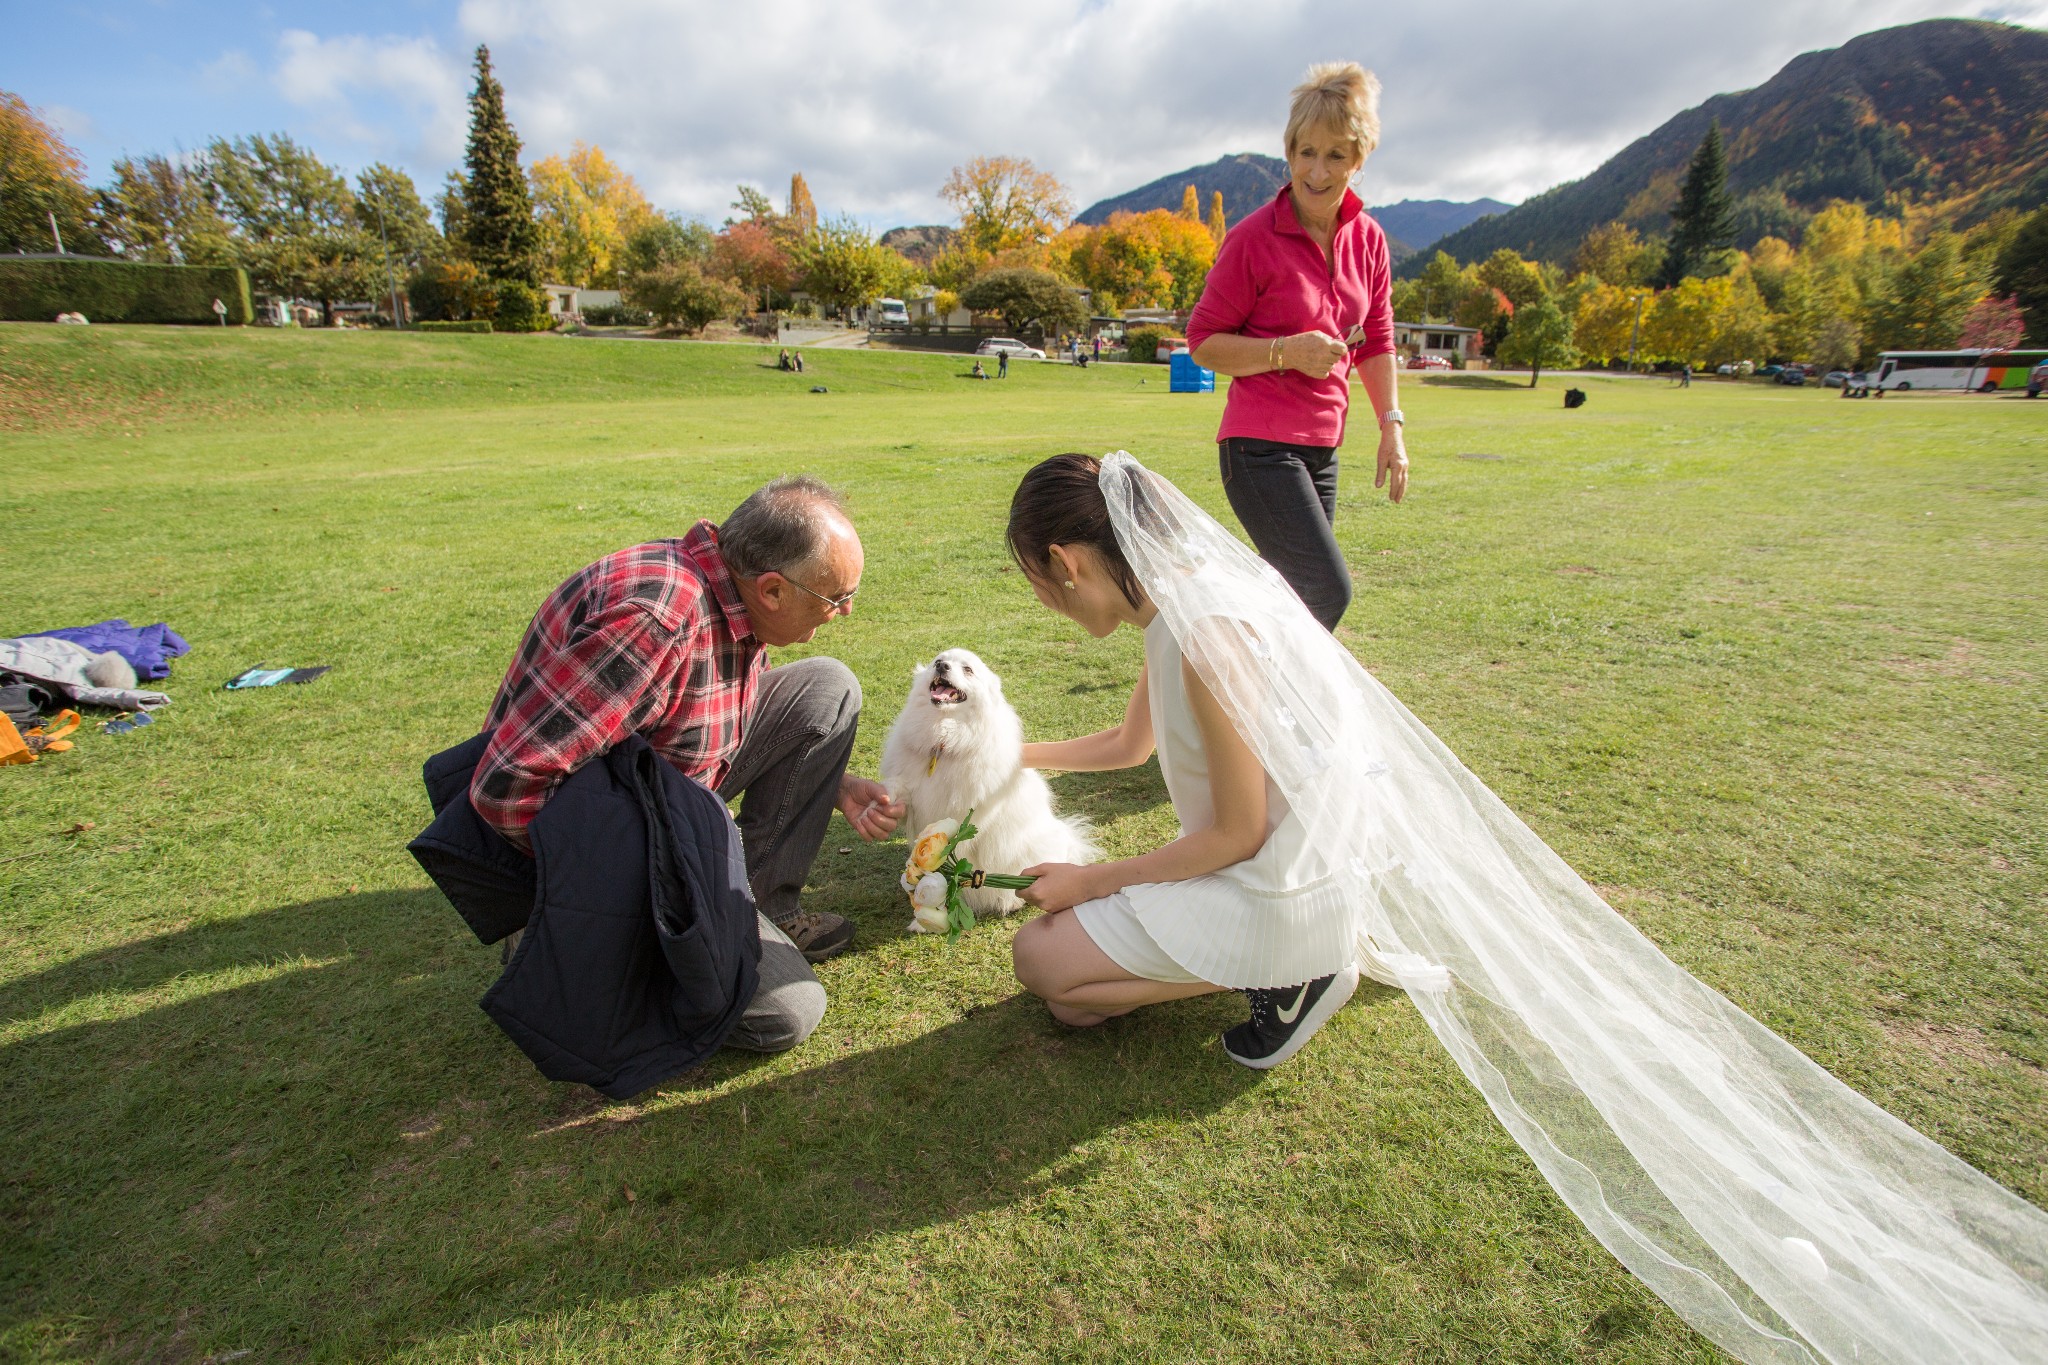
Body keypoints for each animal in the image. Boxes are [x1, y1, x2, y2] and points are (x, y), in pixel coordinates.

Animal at [884, 650, 1097, 925]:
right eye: (937, 661)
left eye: (968, 670)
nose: (942, 666)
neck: (942, 742)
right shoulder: (913, 796)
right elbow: (898, 792)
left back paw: (1011, 901)